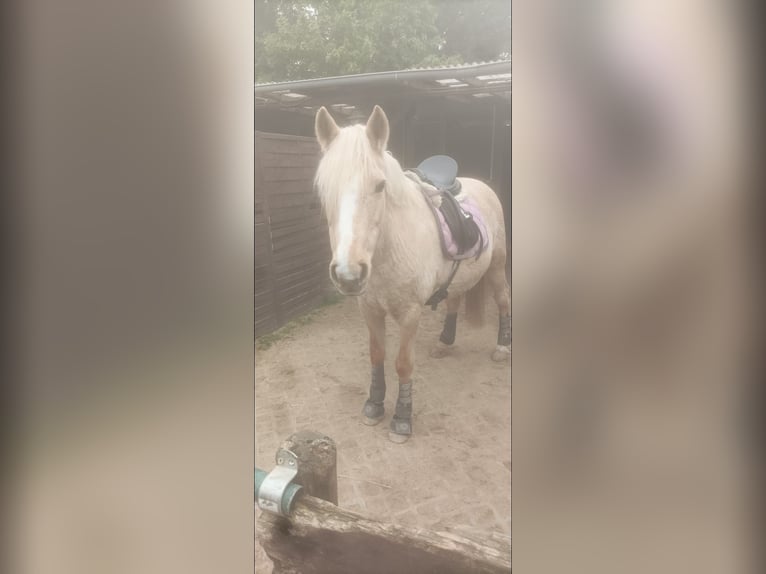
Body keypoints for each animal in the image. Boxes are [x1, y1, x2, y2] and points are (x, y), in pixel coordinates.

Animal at [312, 104, 510, 446]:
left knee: (503, 300)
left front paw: (401, 419)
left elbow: (403, 364)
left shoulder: (410, 313)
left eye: (379, 186)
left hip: (497, 268)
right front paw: (374, 405)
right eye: (325, 189)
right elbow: (376, 355)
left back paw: (501, 348)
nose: (349, 274)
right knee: (454, 299)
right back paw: (445, 343)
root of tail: (481, 184)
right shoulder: (369, 309)